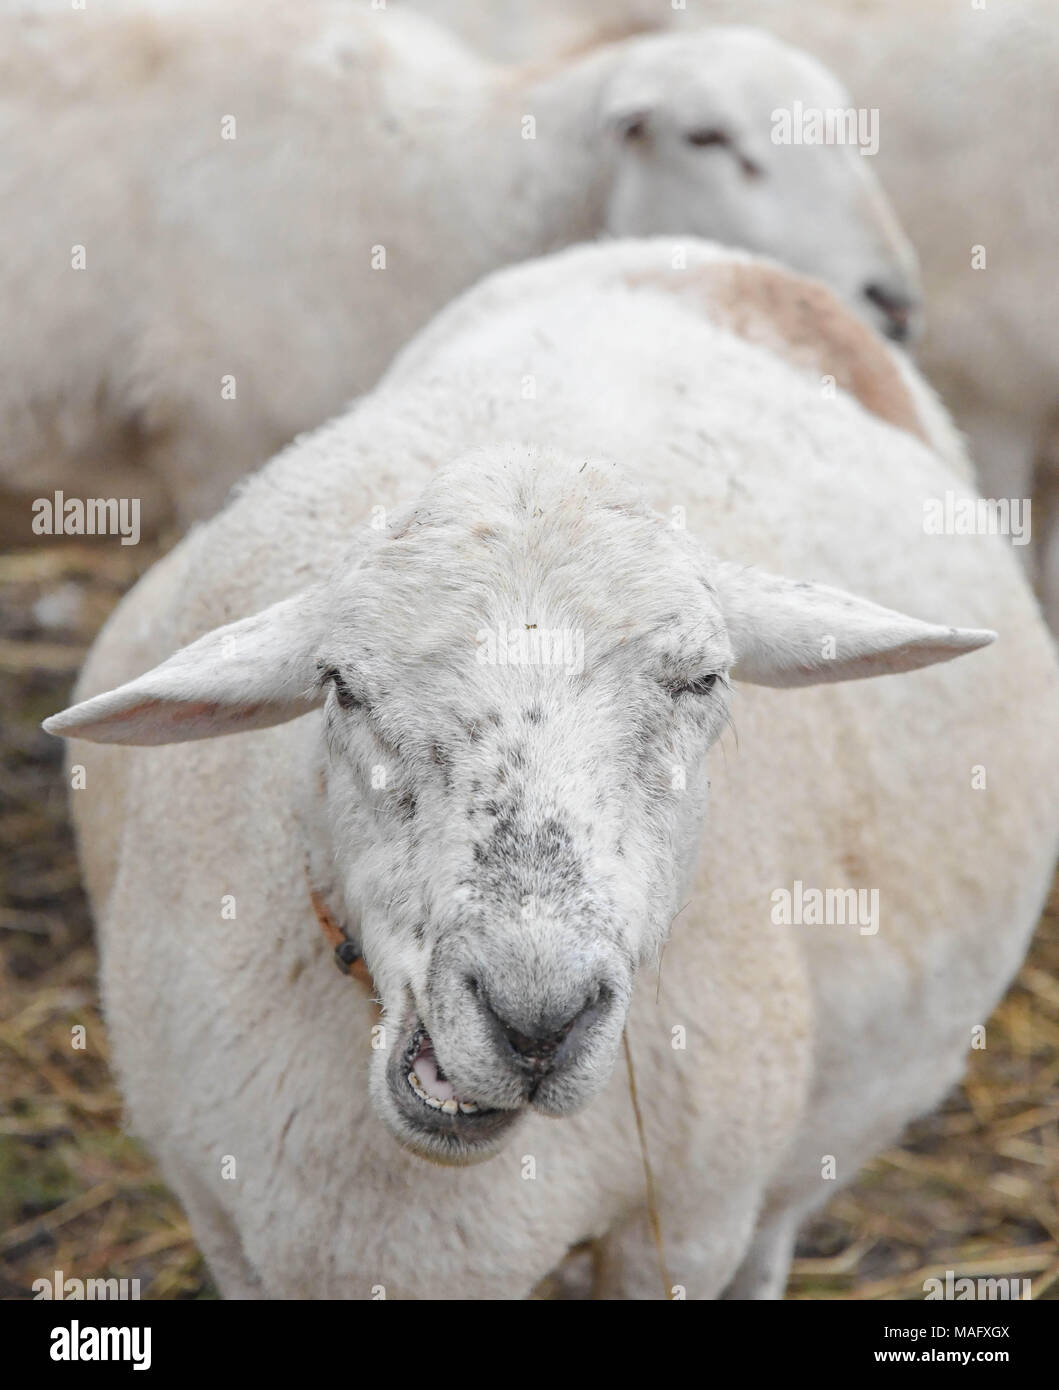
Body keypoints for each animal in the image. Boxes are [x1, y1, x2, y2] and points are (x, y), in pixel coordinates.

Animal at [45, 241, 1056, 1301]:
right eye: (342, 687)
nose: (536, 1020)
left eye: (703, 680)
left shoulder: (683, 1229)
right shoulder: (225, 1221)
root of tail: (714, 262)